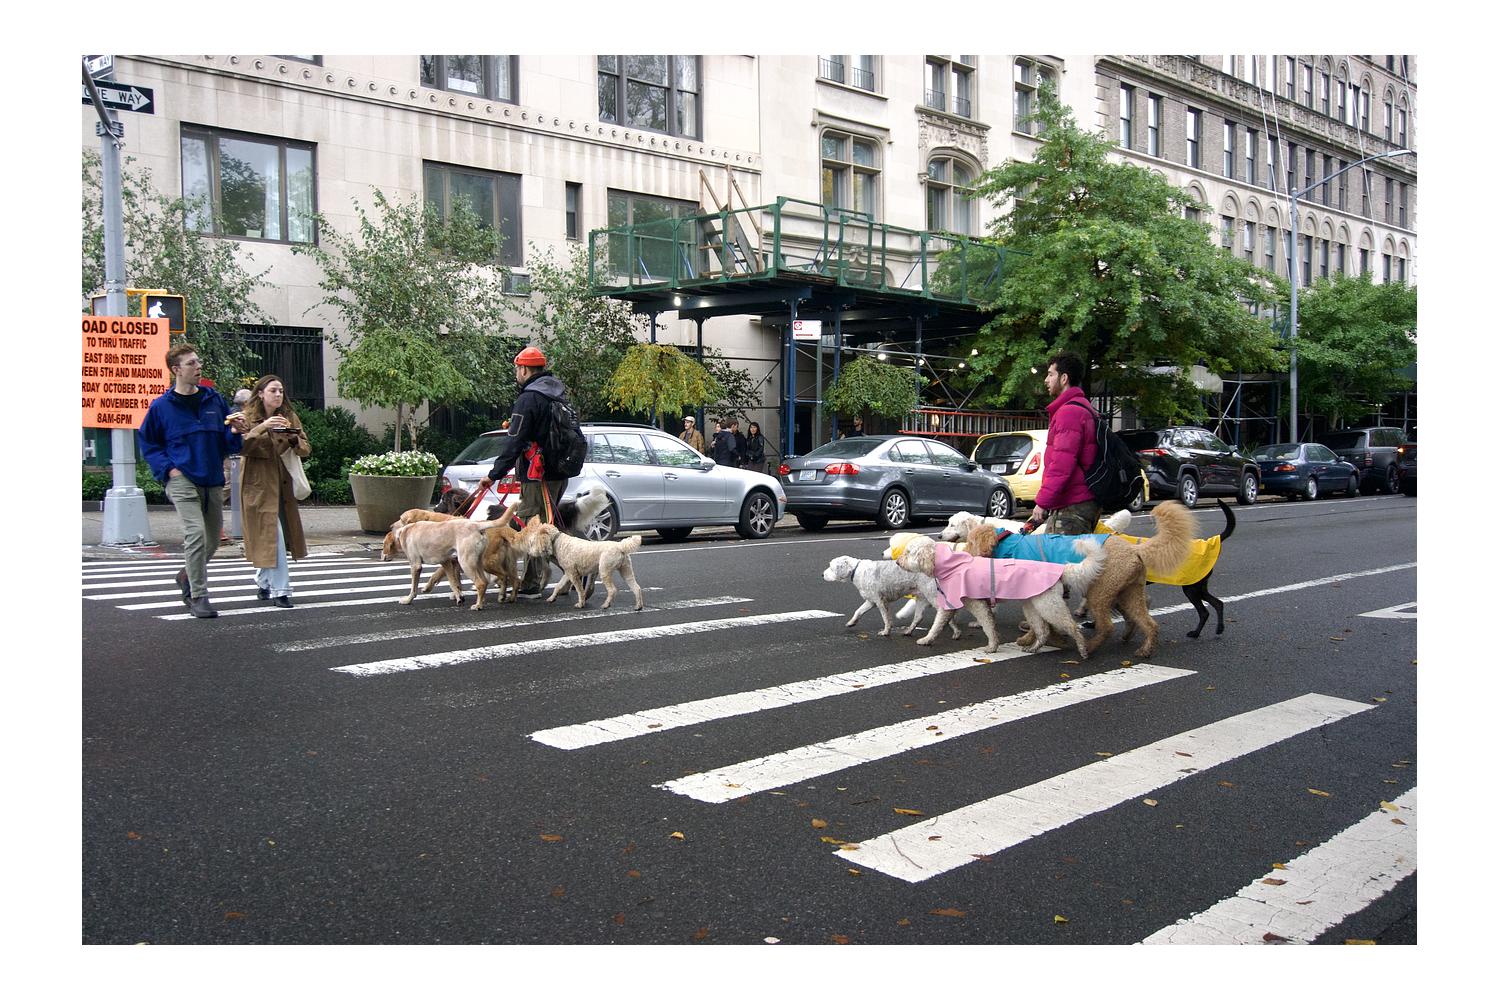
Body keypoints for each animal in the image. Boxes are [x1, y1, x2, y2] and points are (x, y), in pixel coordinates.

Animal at [516, 516, 645, 611]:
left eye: (534, 541)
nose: (529, 552)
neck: (558, 541)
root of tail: (621, 546)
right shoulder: (567, 573)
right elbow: (558, 586)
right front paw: (552, 598)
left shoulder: (573, 574)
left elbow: (579, 590)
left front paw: (581, 603)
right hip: (626, 570)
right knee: (636, 587)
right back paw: (638, 606)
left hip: (605, 571)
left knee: (612, 590)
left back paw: (606, 605)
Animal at [822, 555, 962, 639]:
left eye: (831, 567)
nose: (822, 575)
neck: (857, 570)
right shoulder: (871, 601)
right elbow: (858, 611)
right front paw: (851, 622)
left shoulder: (880, 602)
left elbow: (886, 618)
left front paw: (886, 631)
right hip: (922, 598)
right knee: (918, 617)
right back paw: (908, 631)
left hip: (932, 595)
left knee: (947, 613)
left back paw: (956, 631)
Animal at [885, 530, 1106, 657]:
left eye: (908, 553)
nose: (898, 562)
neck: (950, 564)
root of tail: (1061, 569)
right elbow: (983, 623)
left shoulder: (976, 604)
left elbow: (970, 624)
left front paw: (926, 640)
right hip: (1032, 605)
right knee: (1042, 630)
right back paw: (1033, 648)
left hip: (1049, 605)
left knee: (1071, 626)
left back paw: (1083, 649)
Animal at [1096, 500, 1235, 640]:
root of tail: (1209, 542)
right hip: (1199, 587)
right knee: (1218, 603)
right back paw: (1219, 628)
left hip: (1191, 589)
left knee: (1204, 612)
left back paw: (1195, 633)